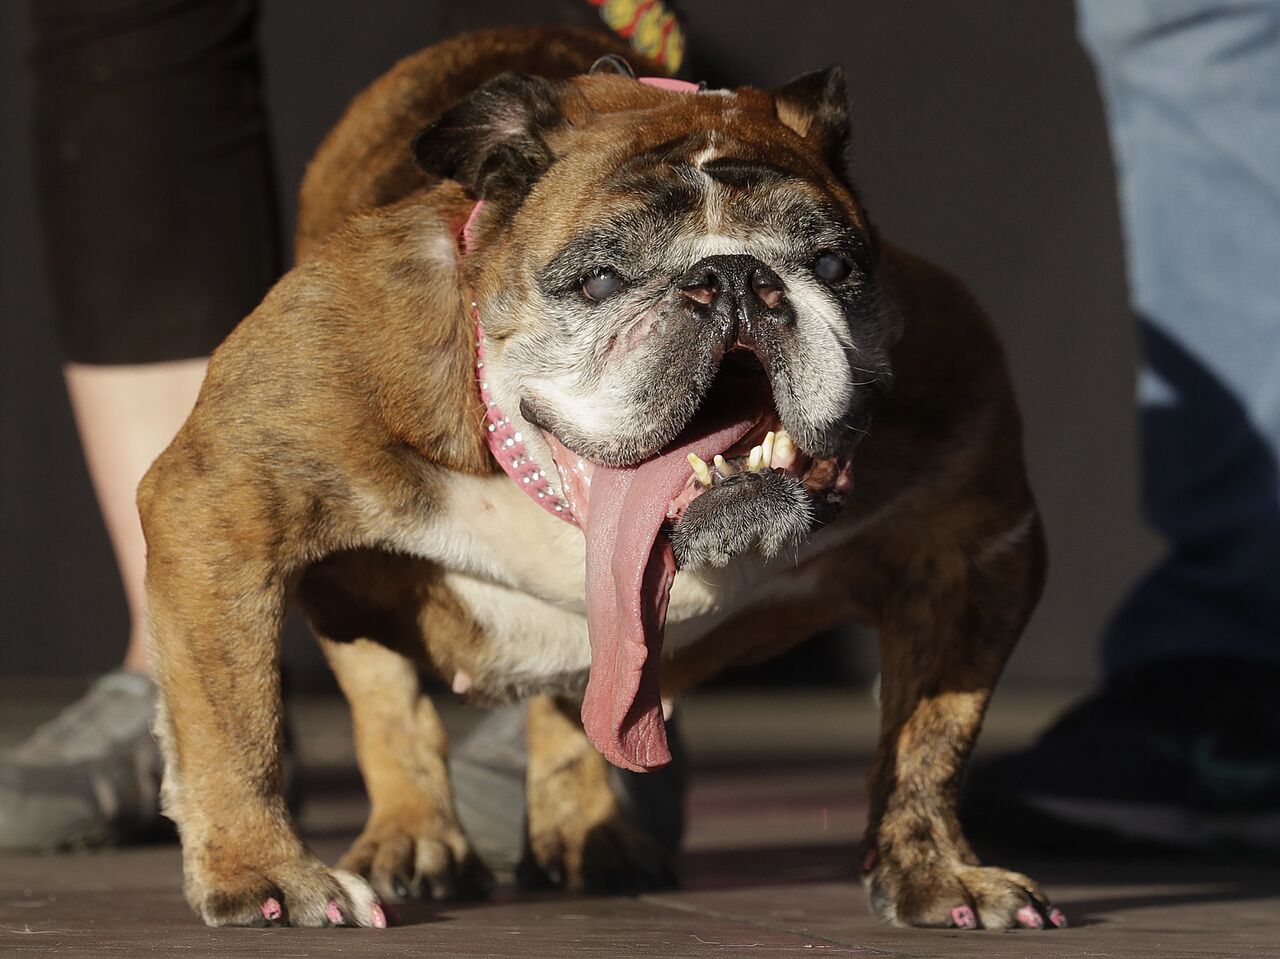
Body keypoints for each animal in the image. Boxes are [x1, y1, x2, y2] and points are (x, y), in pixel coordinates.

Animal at [142, 26, 1059, 932]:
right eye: (601, 280)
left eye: (831, 264)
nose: (734, 275)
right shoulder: (224, 500)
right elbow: (236, 719)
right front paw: (261, 870)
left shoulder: (971, 544)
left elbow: (930, 736)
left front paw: (935, 866)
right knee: (388, 706)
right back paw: (418, 835)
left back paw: (592, 831)